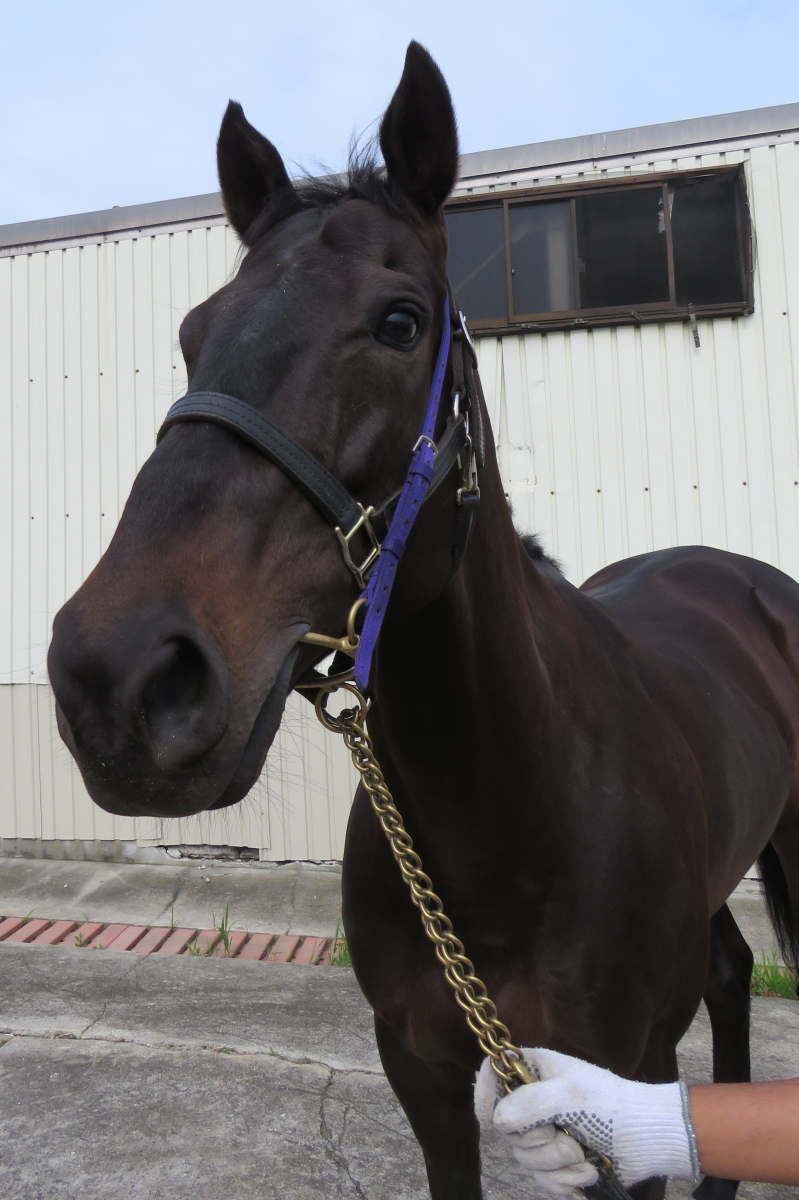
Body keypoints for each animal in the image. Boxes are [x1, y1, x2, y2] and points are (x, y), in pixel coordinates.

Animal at [47, 42, 799, 1200]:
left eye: (399, 321)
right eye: (190, 335)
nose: (115, 681)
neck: (512, 814)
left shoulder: (620, 1087)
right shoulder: (423, 1075)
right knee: (726, 970)